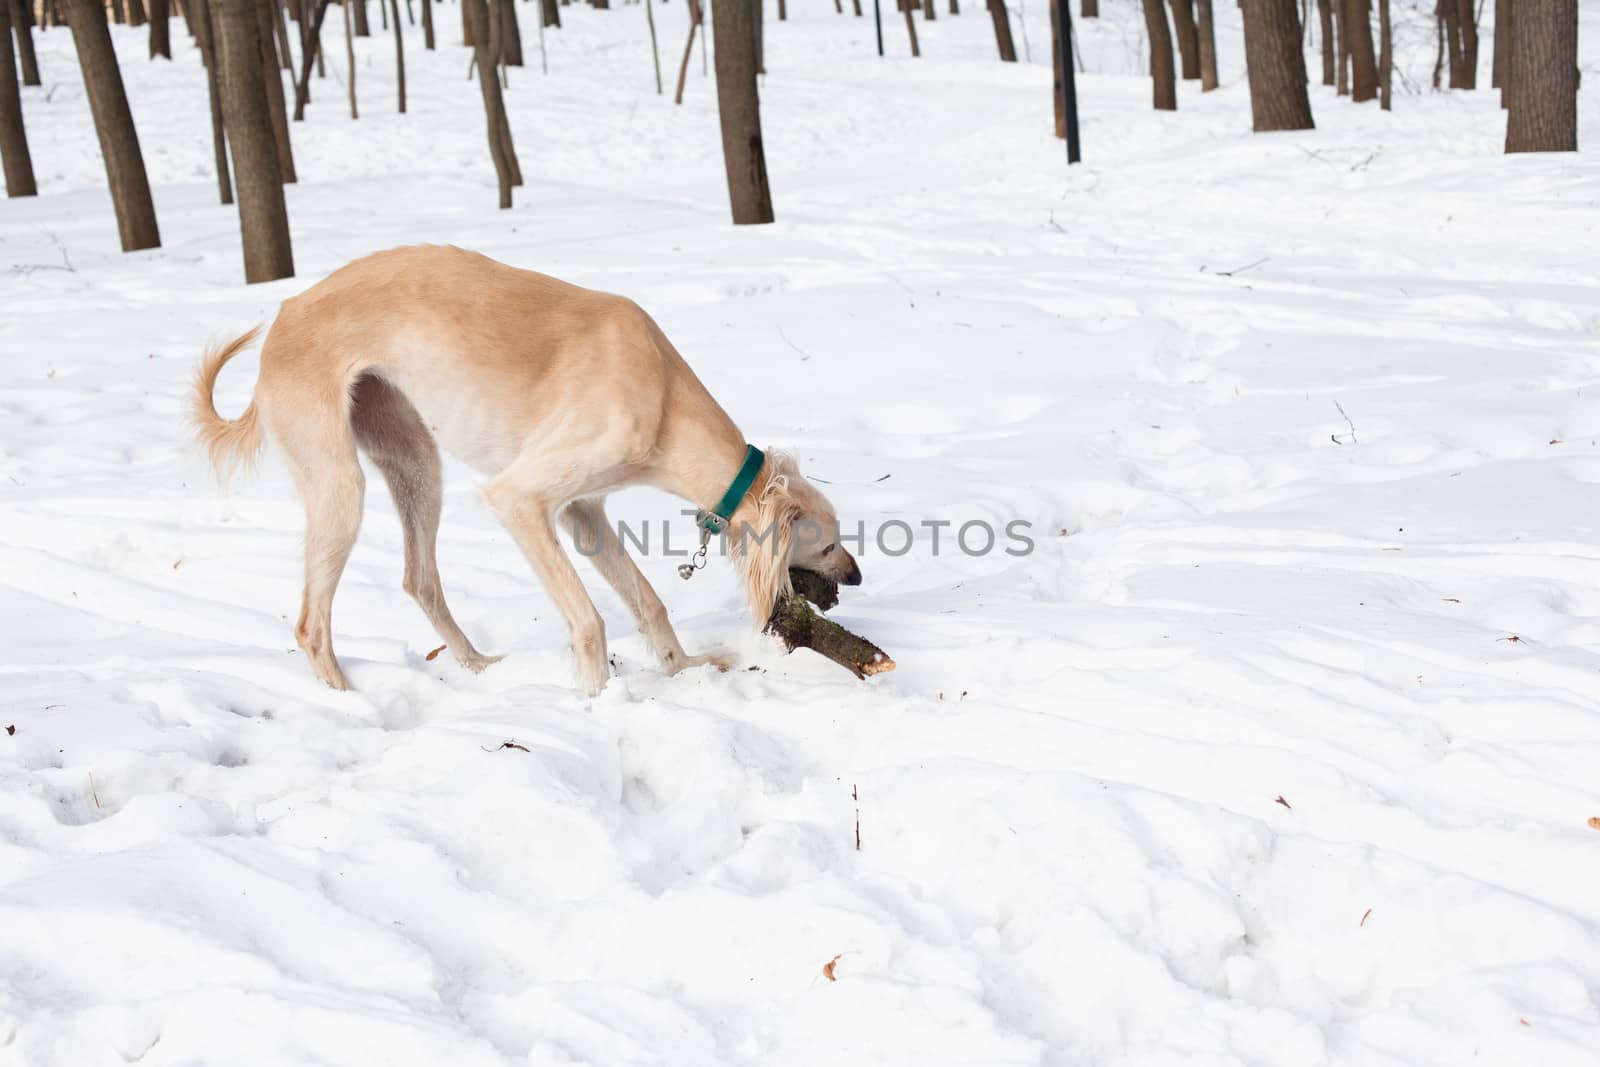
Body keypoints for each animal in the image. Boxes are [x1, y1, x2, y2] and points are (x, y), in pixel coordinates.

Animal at [190, 243, 864, 697]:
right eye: (829, 544)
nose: (856, 577)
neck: (662, 395)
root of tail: (281, 318)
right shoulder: (520, 499)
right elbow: (588, 618)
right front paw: (596, 699)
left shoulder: (583, 513)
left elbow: (649, 603)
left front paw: (682, 670)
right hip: (340, 484)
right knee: (311, 624)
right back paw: (348, 701)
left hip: (415, 461)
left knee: (420, 579)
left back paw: (477, 668)